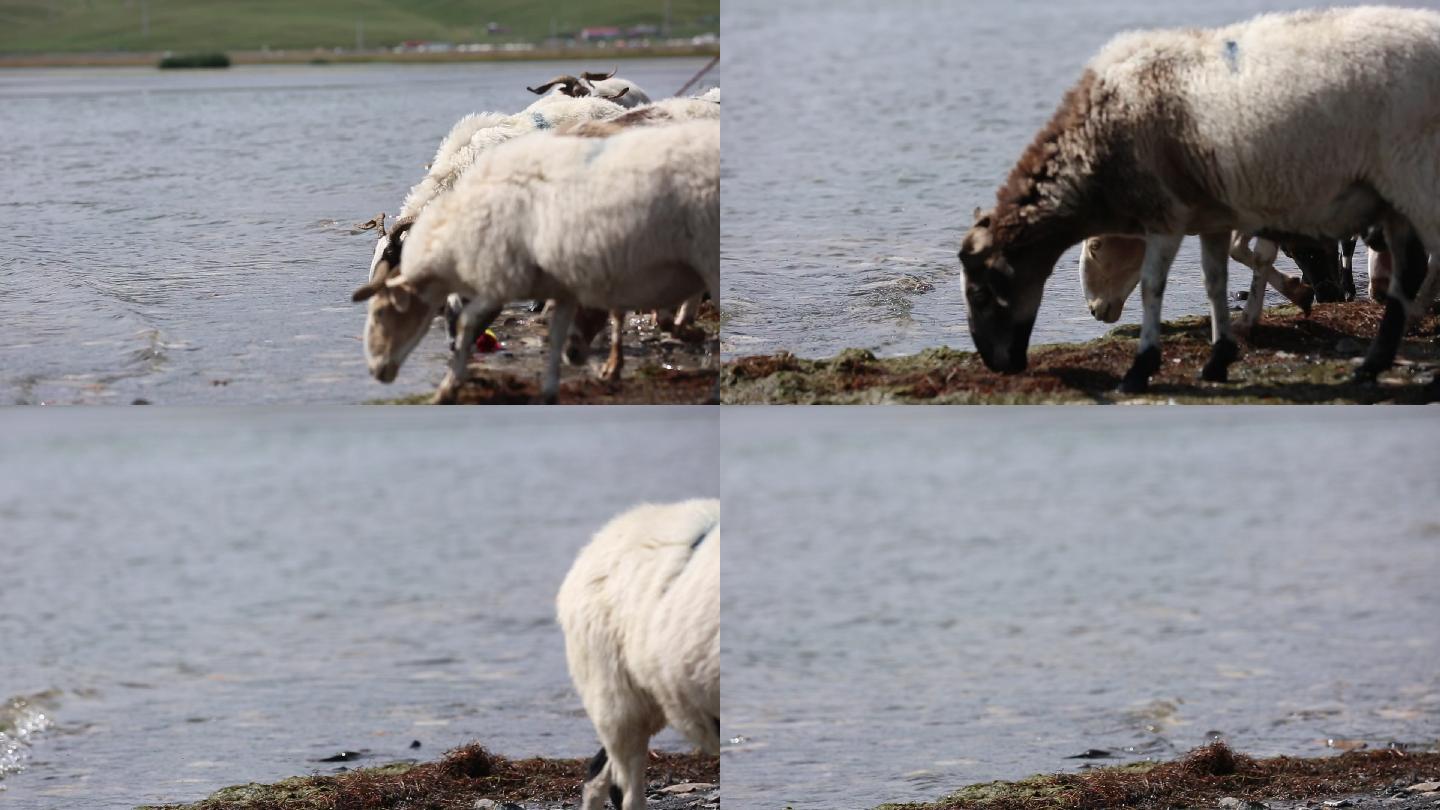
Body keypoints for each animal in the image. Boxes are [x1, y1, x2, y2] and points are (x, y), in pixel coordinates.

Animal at [956, 6, 1440, 392]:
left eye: (980, 293)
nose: (998, 365)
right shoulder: (1217, 214)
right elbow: (1218, 277)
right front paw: (1223, 352)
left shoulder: (1172, 213)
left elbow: (1156, 285)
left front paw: (1143, 367)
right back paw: (1375, 354)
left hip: (1414, 176)